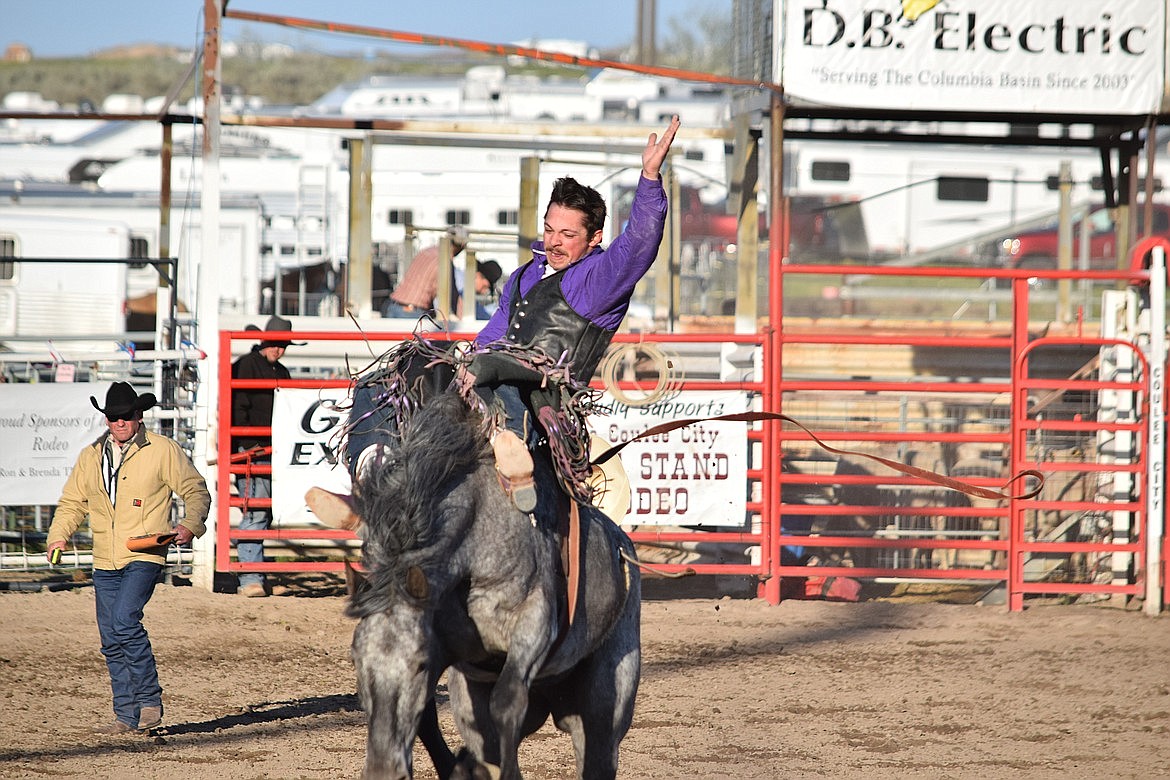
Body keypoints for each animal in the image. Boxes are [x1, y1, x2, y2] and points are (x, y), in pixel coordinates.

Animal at [343, 392, 641, 780]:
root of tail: (622, 544)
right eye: (356, 661)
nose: (382, 771)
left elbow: (506, 701)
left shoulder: (534, 624)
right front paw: (459, 766)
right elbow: (433, 720)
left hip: (603, 712)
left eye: (420, 664)